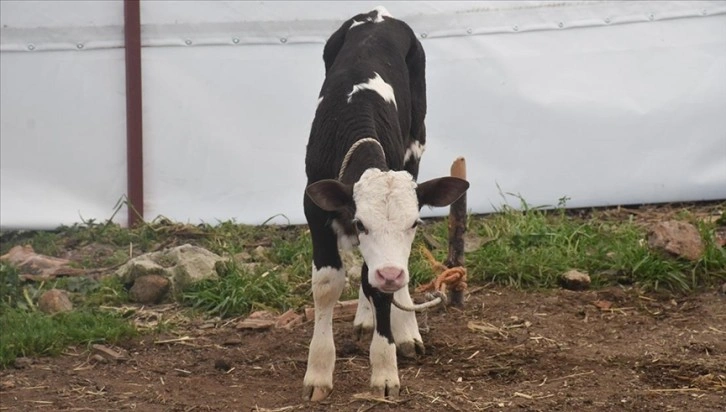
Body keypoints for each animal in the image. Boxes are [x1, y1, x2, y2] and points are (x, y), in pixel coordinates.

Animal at [302, 6, 470, 400]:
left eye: (414, 224)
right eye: (361, 223)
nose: (391, 274)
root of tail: (378, 14)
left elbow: (377, 286)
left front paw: (384, 370)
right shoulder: (313, 206)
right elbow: (328, 284)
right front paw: (318, 373)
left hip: (416, 142)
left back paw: (405, 329)